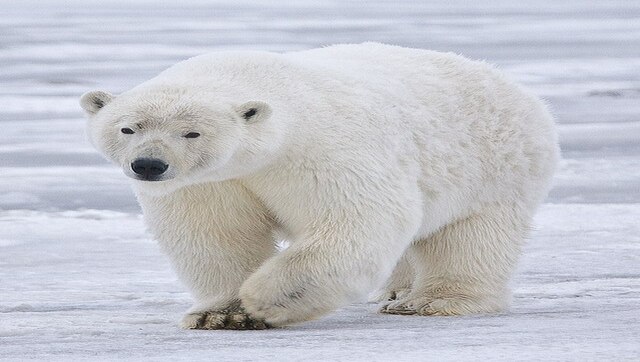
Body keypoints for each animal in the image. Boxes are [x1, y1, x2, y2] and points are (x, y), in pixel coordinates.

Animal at [81, 43, 560, 330]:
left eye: (192, 133)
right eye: (128, 128)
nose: (149, 165)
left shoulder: (321, 149)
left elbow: (357, 220)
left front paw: (263, 300)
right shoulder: (209, 183)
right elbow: (216, 236)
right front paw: (220, 313)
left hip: (493, 166)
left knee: (470, 236)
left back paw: (429, 302)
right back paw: (397, 290)